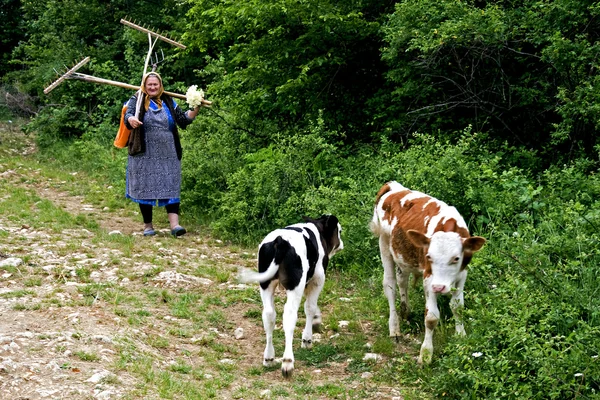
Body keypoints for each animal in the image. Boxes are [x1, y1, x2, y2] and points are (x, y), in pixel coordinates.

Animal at [238, 214, 342, 376]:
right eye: (340, 231)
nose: (341, 243)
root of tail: (280, 241)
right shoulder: (317, 279)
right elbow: (310, 307)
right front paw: (307, 340)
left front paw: (317, 320)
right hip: (295, 285)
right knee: (289, 316)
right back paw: (287, 362)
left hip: (266, 284)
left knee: (269, 315)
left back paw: (269, 358)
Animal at [368, 183, 486, 364]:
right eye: (429, 256)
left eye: (456, 258)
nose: (439, 287)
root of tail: (394, 187)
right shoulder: (429, 278)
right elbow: (431, 318)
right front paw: (425, 354)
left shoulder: (462, 275)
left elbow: (458, 307)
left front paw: (461, 336)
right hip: (384, 242)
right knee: (390, 285)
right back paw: (394, 328)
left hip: (402, 255)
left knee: (402, 280)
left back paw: (405, 311)